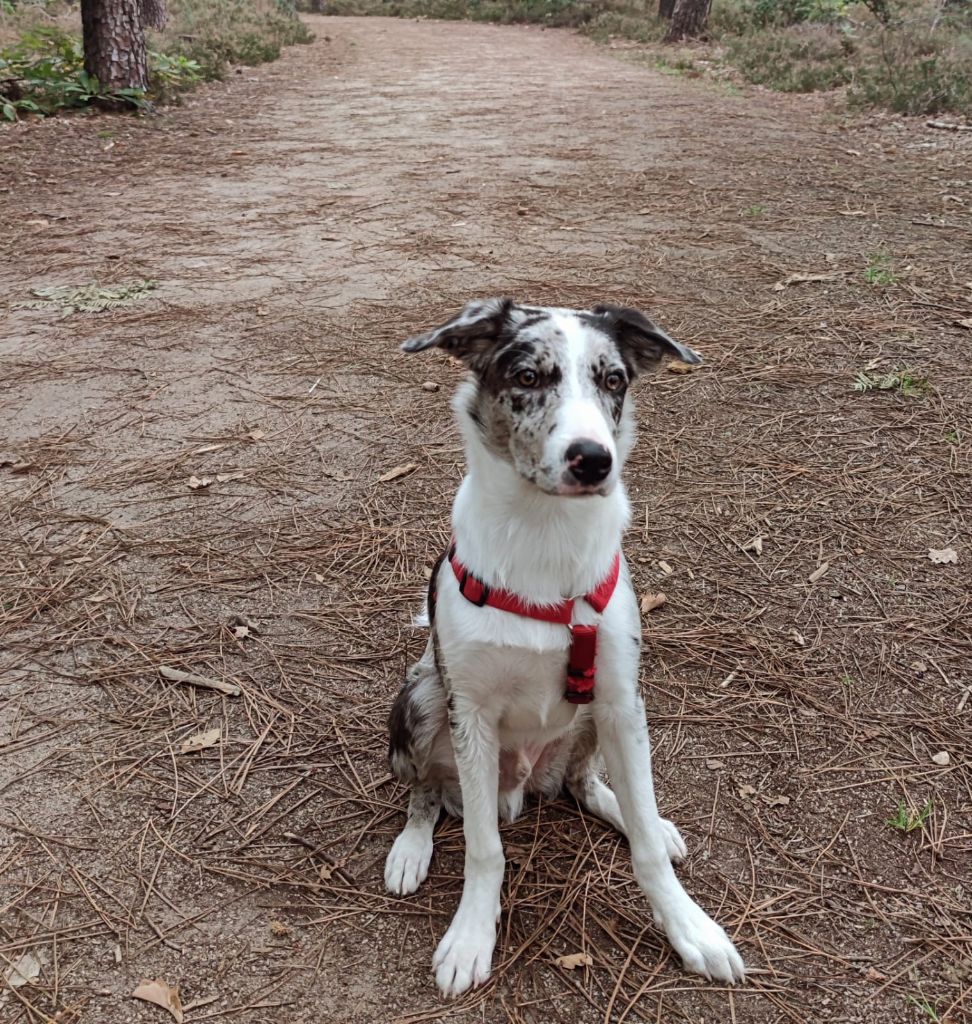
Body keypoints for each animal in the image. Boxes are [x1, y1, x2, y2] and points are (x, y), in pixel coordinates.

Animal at [385, 299, 741, 995]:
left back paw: (631, 811)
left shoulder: (620, 696)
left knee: (585, 782)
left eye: (614, 380)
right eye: (527, 377)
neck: (543, 536)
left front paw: (691, 928)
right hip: (422, 695)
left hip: (598, 721)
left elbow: (648, 851)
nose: (593, 459)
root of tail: (525, 783)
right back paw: (412, 846)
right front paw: (471, 938)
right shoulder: (469, 711)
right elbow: (484, 849)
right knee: (426, 791)